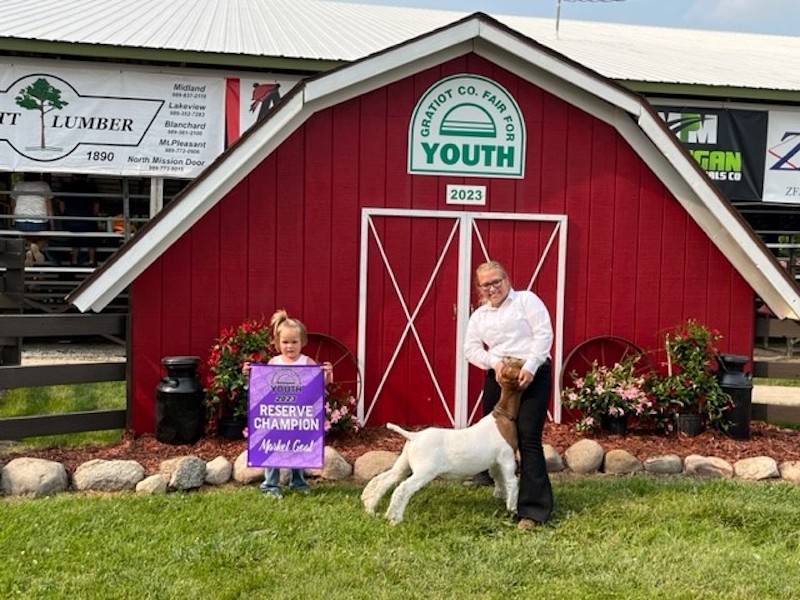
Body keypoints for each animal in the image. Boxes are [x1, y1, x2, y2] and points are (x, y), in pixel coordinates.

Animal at [360, 358, 524, 524]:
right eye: (518, 363)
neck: (502, 418)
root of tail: (414, 436)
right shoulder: (507, 458)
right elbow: (511, 483)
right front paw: (512, 509)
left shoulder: (495, 463)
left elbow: (499, 479)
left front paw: (500, 497)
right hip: (425, 471)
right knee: (403, 489)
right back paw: (395, 518)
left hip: (404, 463)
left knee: (384, 479)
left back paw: (371, 509)